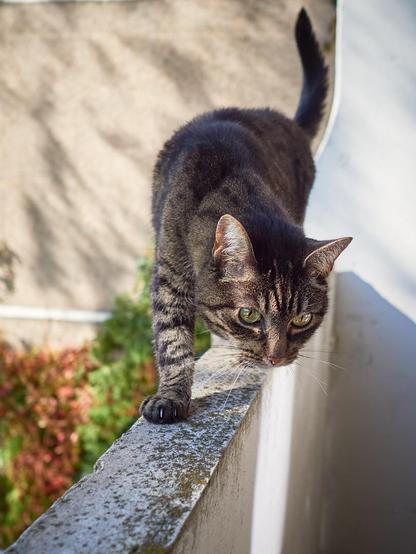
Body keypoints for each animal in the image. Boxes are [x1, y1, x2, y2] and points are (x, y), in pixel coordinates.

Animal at [141, 8, 352, 422]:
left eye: (302, 320)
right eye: (250, 316)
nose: (277, 358)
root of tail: (286, 120)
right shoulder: (169, 274)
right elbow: (173, 339)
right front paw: (171, 397)